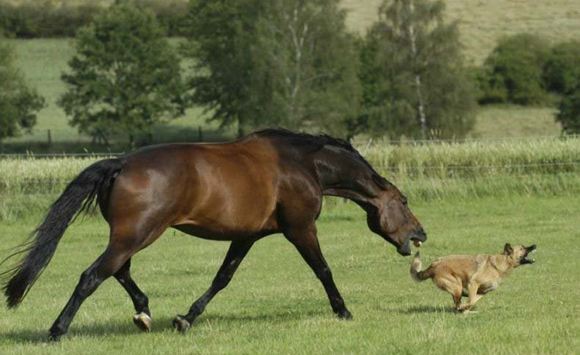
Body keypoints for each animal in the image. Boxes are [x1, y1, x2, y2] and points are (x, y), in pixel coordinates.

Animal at [0, 129, 426, 340]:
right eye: (404, 201)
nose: (420, 234)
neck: (303, 164)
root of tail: (120, 164)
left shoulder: (247, 236)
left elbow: (223, 278)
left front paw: (185, 319)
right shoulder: (300, 228)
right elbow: (323, 270)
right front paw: (343, 310)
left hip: (130, 235)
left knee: (118, 272)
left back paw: (144, 314)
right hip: (137, 234)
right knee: (93, 276)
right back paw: (57, 331)